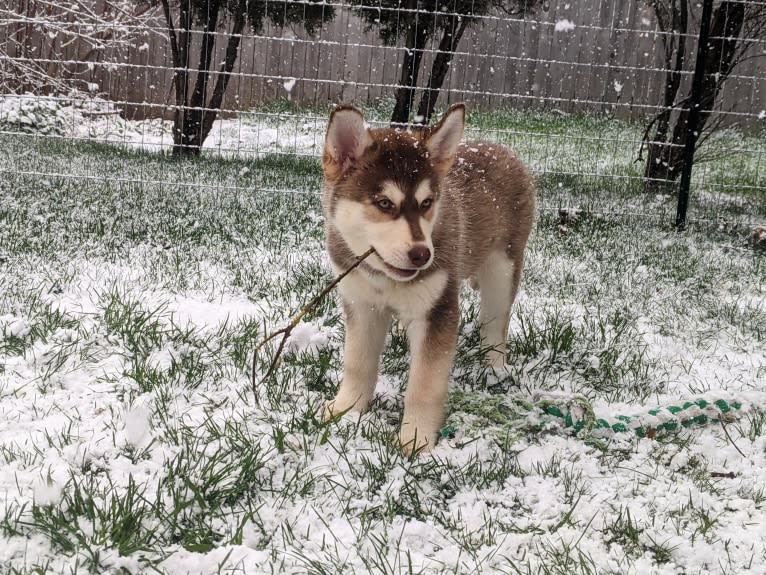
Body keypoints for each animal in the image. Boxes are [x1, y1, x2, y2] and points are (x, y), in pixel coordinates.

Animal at [320, 104, 536, 454]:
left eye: (426, 203)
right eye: (384, 203)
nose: (423, 255)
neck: (384, 277)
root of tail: (499, 147)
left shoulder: (437, 311)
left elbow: (424, 384)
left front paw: (415, 440)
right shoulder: (361, 303)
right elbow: (357, 362)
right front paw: (346, 409)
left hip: (503, 267)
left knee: (495, 323)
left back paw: (494, 368)